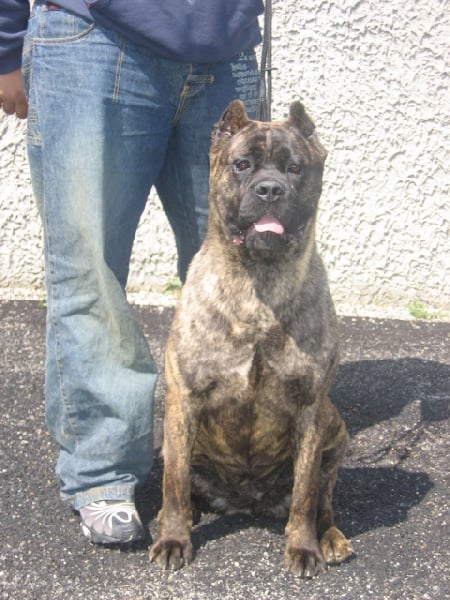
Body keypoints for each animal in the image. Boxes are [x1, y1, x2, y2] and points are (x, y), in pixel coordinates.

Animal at [149, 100, 353, 578]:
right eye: (242, 164)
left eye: (295, 168)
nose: (270, 189)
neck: (259, 284)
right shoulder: (183, 399)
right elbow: (174, 484)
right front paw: (173, 539)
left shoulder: (311, 408)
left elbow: (305, 493)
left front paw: (303, 547)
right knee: (181, 484)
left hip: (336, 432)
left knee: (324, 499)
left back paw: (330, 537)